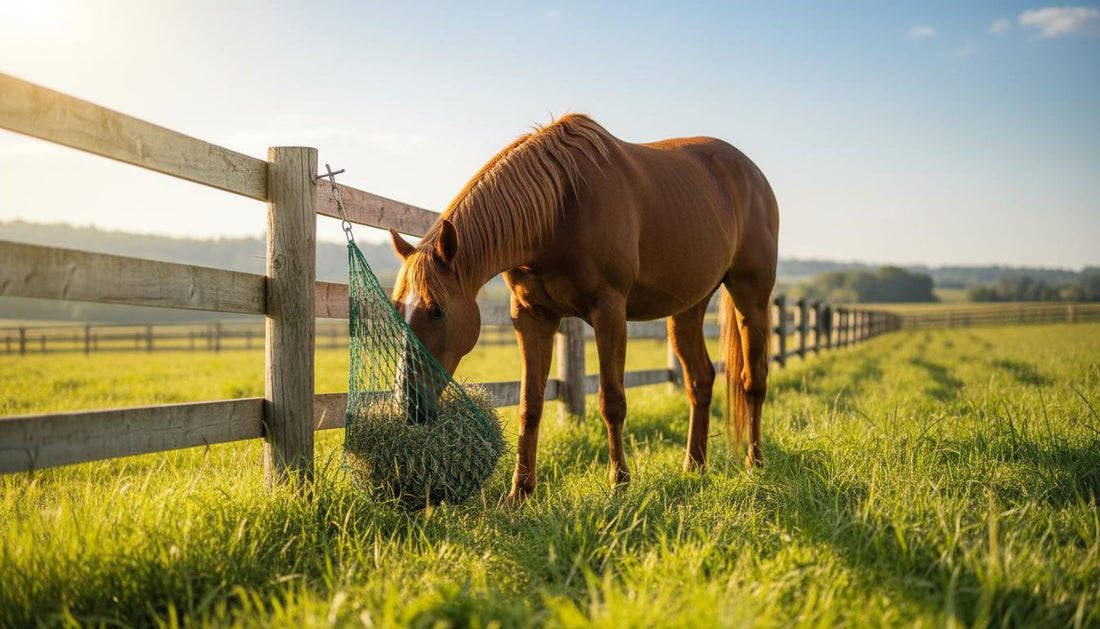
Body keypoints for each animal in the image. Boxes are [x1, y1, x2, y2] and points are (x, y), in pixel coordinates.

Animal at [389, 114, 778, 504]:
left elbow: (612, 402)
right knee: (700, 379)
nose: (410, 404)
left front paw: (619, 483)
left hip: (751, 297)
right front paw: (519, 492)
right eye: (397, 308)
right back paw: (694, 467)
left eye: (437, 310)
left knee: (753, 380)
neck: (561, 207)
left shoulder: (609, 313)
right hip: (688, 307)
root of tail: (755, 176)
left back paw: (754, 464)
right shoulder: (531, 317)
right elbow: (530, 404)